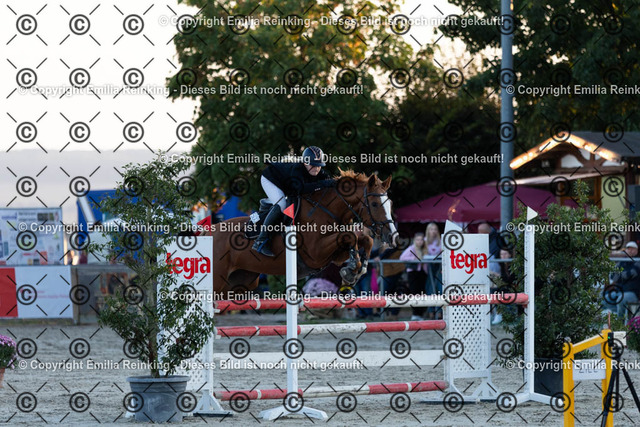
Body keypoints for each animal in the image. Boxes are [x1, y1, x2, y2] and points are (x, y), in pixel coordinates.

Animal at [206, 170, 397, 297]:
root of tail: (208, 233)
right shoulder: (315, 253)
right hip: (217, 281)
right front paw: (352, 269)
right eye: (374, 204)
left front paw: (357, 268)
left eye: (390, 203)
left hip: (240, 281)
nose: (392, 236)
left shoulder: (335, 255)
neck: (326, 210)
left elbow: (364, 239)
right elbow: (350, 236)